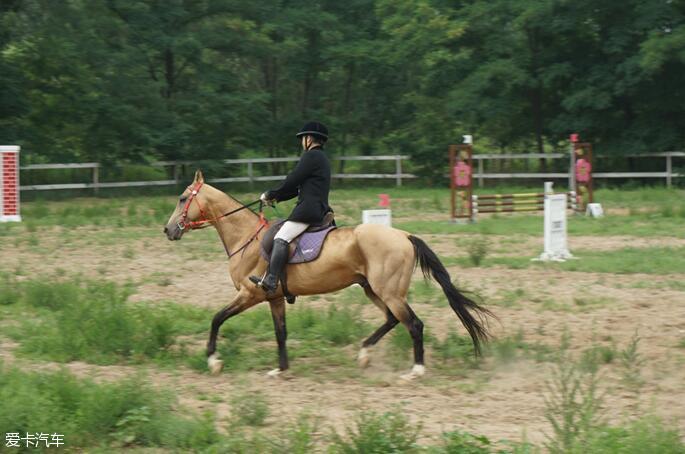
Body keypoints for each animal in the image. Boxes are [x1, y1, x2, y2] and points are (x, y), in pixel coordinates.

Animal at [162, 170, 488, 380]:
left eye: (182, 198)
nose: (168, 230)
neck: (247, 237)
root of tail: (405, 235)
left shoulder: (250, 294)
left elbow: (217, 318)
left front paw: (213, 361)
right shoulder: (273, 298)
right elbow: (280, 332)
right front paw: (281, 368)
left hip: (389, 292)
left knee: (414, 324)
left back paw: (416, 370)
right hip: (374, 289)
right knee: (393, 320)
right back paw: (364, 354)